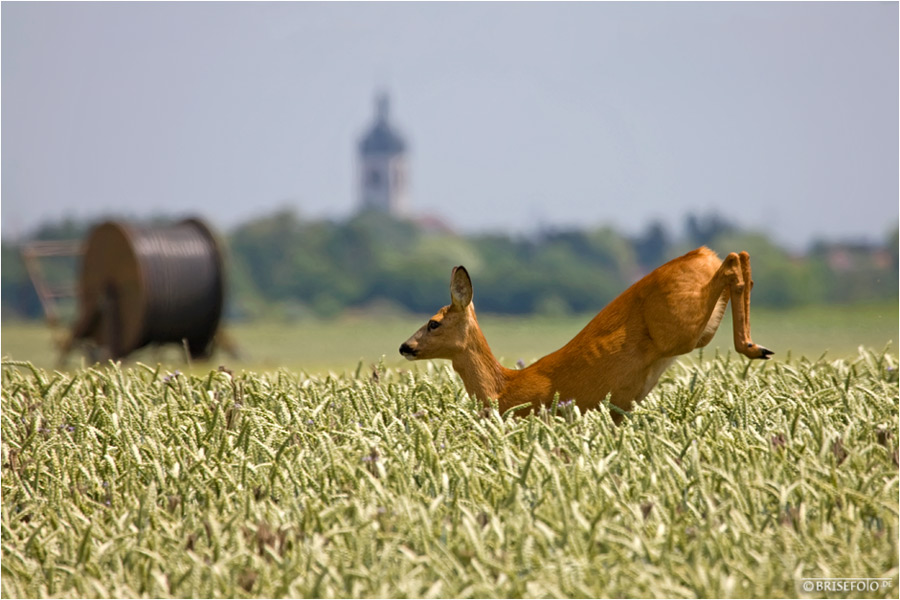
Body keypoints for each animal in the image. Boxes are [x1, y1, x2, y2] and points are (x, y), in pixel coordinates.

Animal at [400, 245, 772, 422]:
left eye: (433, 322)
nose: (405, 346)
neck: (504, 388)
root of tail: (702, 255)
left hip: (681, 326)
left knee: (732, 263)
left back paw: (755, 347)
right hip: (697, 329)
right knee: (740, 256)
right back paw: (758, 347)